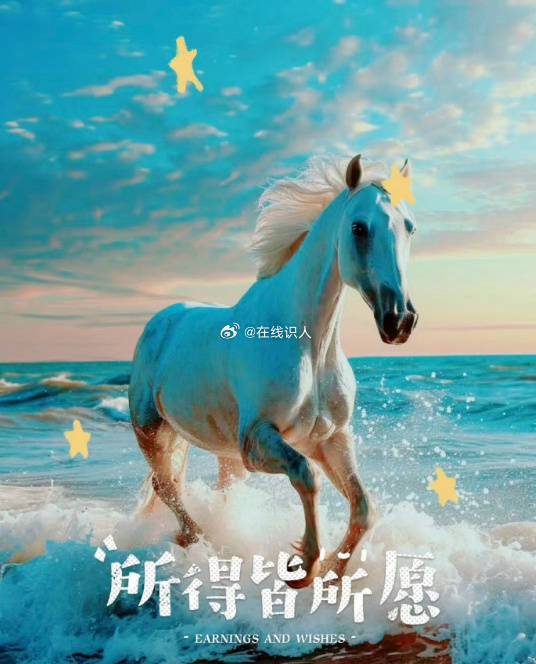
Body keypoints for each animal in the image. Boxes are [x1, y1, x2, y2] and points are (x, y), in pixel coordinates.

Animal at [128, 153, 418, 588]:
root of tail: (160, 320)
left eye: (410, 227)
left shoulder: (329, 439)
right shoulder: (258, 439)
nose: (399, 321)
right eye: (358, 227)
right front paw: (302, 567)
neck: (310, 347)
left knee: (204, 489)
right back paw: (199, 541)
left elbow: (364, 505)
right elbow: (307, 477)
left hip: (218, 451)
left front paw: (332, 575)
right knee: (167, 488)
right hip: (152, 432)